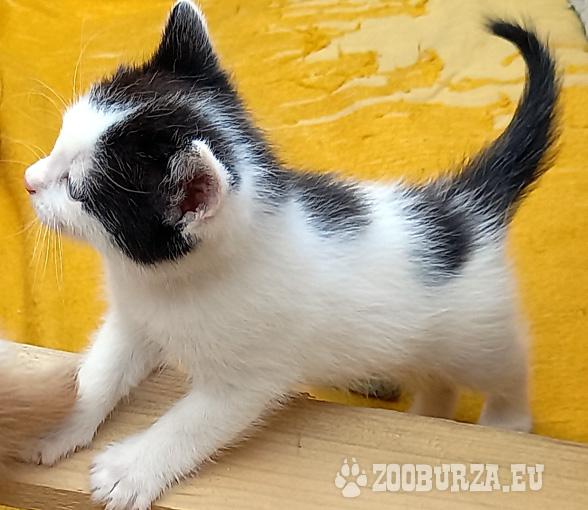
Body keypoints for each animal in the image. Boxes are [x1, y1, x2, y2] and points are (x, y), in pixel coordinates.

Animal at [22, 1, 559, 508]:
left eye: (76, 191)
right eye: (59, 140)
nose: (28, 181)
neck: (169, 282)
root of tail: (462, 207)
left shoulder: (249, 375)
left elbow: (193, 422)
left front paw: (129, 470)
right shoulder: (134, 320)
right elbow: (100, 370)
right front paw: (53, 417)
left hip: (478, 332)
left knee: (507, 366)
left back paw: (506, 420)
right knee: (436, 376)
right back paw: (427, 412)